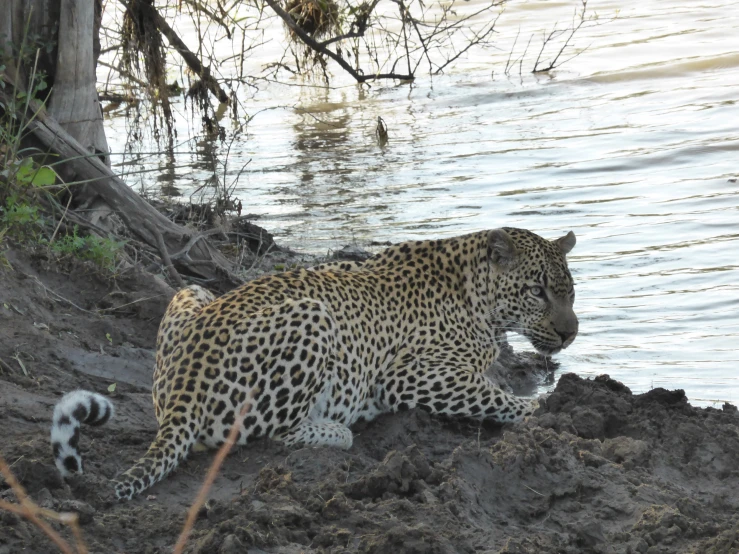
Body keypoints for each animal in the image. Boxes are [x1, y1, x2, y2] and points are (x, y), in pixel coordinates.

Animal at [52, 224, 580, 496]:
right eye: (537, 291)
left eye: (570, 291)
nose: (570, 332)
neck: (478, 295)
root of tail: (182, 388)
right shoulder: (410, 375)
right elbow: (498, 398)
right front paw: (543, 408)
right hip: (313, 315)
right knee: (273, 435)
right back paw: (336, 428)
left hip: (192, 291)